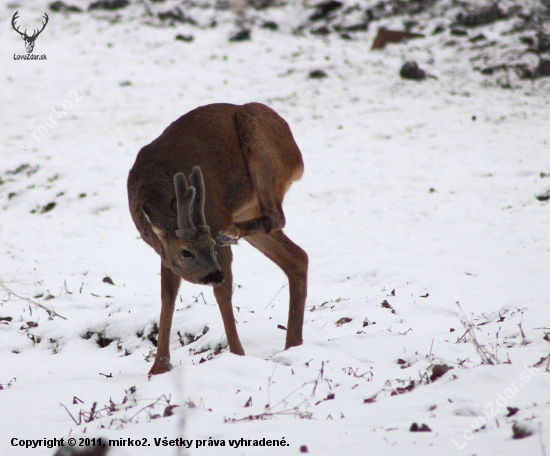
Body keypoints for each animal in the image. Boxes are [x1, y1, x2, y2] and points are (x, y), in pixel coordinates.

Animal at [130, 102, 310, 374]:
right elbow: (167, 298)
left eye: (211, 245)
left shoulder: (214, 226)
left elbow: (222, 294)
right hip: (248, 208)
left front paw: (237, 354)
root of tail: (297, 156)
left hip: (260, 144)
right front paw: (158, 368)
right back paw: (292, 345)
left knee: (277, 217)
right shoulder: (165, 254)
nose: (214, 274)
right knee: (298, 257)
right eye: (185, 251)